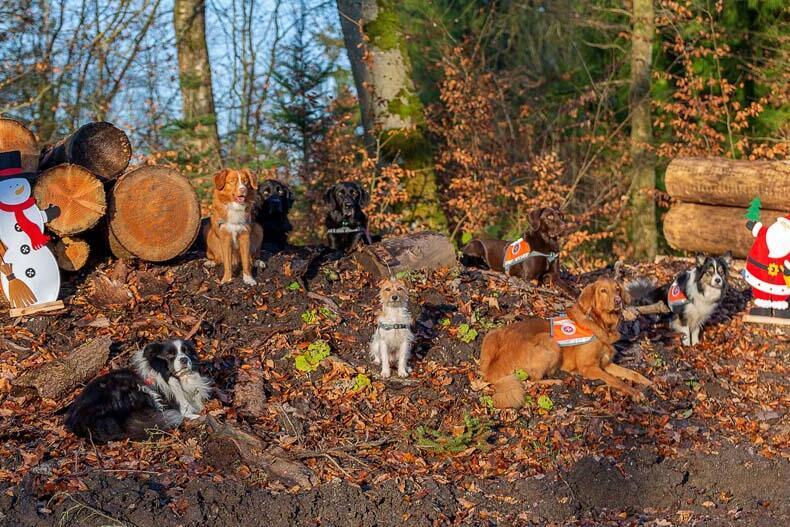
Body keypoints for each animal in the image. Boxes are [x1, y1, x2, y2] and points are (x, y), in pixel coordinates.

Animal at [480, 278, 652, 410]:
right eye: (603, 290)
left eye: (617, 289)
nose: (618, 301)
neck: (601, 324)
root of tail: (492, 370)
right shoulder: (589, 367)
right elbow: (616, 380)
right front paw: (635, 392)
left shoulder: (606, 363)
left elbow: (633, 373)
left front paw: (650, 383)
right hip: (550, 341)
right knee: (533, 379)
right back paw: (554, 380)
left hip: (491, 334)